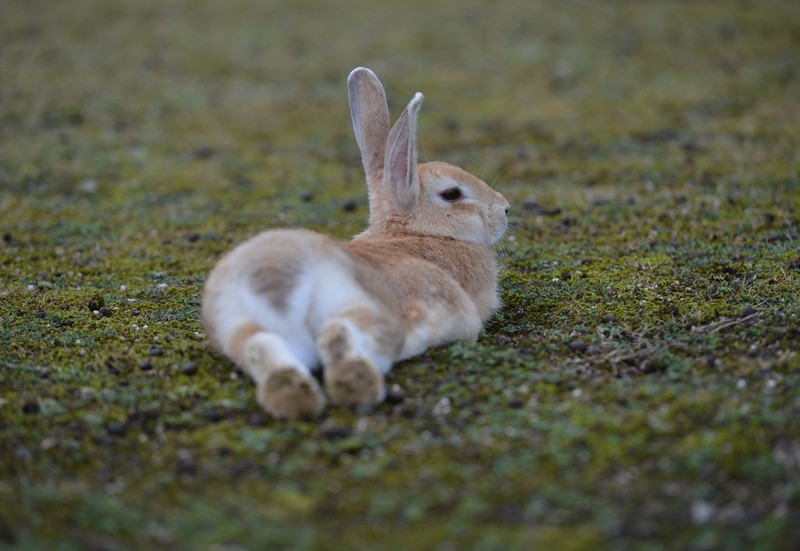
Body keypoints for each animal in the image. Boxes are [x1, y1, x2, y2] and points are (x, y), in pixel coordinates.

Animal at [203, 68, 510, 422]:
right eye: (452, 193)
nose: (504, 209)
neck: (414, 233)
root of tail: (276, 276)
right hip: (371, 308)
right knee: (337, 333)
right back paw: (358, 388)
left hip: (237, 325)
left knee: (260, 346)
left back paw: (294, 399)